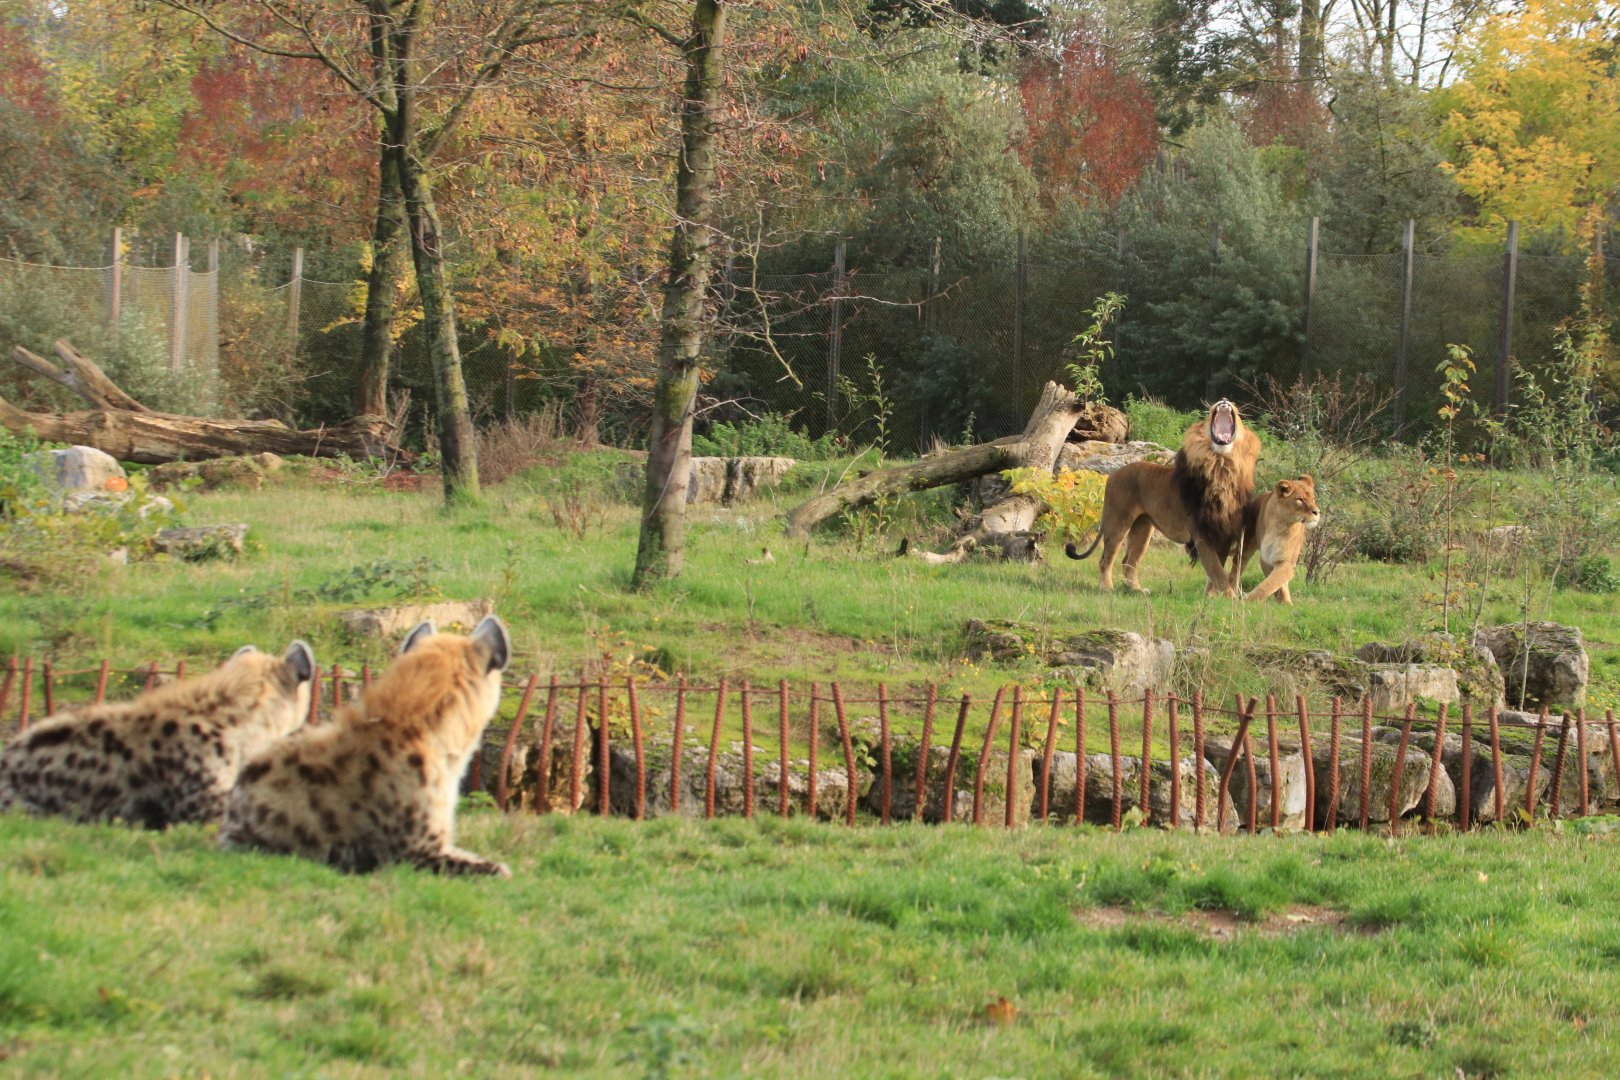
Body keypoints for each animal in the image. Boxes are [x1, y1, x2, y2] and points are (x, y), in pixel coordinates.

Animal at [1064, 399, 1261, 595]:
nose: (1224, 400)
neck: (1221, 465)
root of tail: (1112, 475)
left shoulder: (1223, 531)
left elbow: (1216, 573)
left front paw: (1211, 597)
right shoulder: (1202, 534)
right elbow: (1217, 572)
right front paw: (1231, 598)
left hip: (1143, 528)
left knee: (1128, 561)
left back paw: (1137, 590)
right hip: (1118, 521)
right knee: (1106, 558)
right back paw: (1107, 588)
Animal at [1234, 475, 1320, 604]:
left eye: (1313, 499)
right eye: (1300, 499)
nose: (1317, 512)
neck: (1281, 525)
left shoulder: (1287, 561)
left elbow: (1273, 583)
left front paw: (1286, 603)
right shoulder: (1266, 560)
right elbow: (1271, 584)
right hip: (1245, 548)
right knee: (1236, 569)